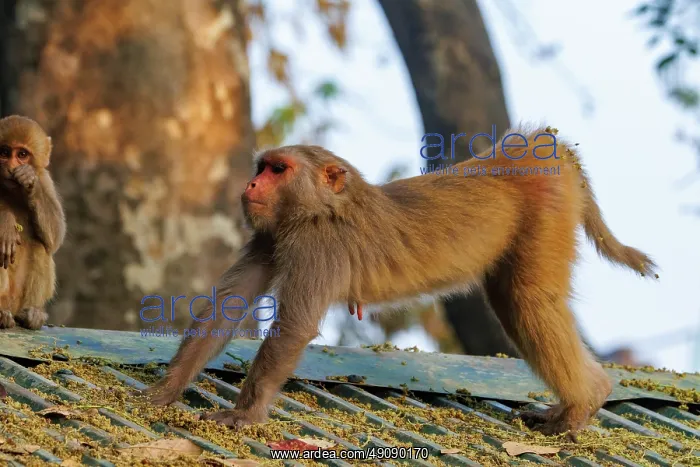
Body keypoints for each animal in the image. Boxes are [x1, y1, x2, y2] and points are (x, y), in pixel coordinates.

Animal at [0, 115, 66, 330]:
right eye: (4, 152)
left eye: (22, 154)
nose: (11, 168)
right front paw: (6, 222)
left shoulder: (45, 179)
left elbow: (56, 236)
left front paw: (29, 182)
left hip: (18, 299)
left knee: (40, 246)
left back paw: (31, 315)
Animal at [145, 125, 657, 437]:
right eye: (262, 168)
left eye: (278, 169)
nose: (250, 186)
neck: (319, 209)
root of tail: (534, 148)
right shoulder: (271, 236)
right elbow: (226, 308)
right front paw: (166, 391)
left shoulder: (318, 246)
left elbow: (294, 327)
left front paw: (244, 414)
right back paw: (585, 401)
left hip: (548, 210)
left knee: (526, 301)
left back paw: (582, 405)